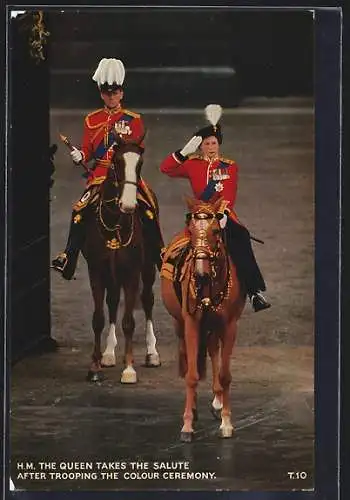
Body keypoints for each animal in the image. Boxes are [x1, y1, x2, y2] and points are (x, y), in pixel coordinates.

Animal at [81, 135, 161, 384]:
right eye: (116, 162)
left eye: (140, 164)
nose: (128, 205)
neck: (114, 222)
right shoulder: (96, 271)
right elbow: (98, 318)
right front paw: (94, 366)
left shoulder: (132, 273)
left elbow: (129, 322)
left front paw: (129, 369)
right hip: (112, 274)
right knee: (113, 302)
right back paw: (108, 354)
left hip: (147, 268)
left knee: (147, 300)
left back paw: (152, 353)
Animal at [161, 196, 246, 442]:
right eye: (191, 230)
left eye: (216, 231)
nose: (199, 273)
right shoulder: (191, 322)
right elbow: (191, 374)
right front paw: (187, 425)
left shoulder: (229, 325)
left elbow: (225, 375)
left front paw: (226, 423)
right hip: (180, 324)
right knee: (190, 357)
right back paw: (196, 408)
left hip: (213, 326)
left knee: (213, 349)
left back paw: (217, 402)